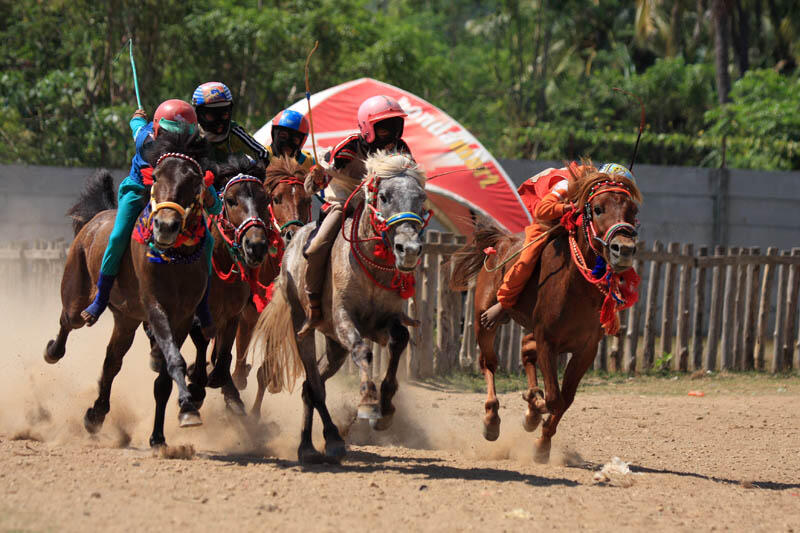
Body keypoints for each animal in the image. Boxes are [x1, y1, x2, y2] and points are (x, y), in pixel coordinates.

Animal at [45, 129, 214, 444]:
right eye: (156, 176)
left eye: (194, 179)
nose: (165, 226)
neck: (175, 261)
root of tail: (95, 220)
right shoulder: (156, 309)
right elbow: (173, 360)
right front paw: (186, 406)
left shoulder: (183, 317)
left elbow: (164, 377)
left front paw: (164, 431)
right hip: (77, 292)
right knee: (67, 320)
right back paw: (53, 351)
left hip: (126, 318)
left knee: (112, 361)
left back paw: (96, 414)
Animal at [230, 156, 314, 388]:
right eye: (276, 199)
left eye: (306, 200)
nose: (292, 234)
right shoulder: (247, 317)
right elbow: (238, 374)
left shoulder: (276, 318)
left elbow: (264, 375)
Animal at [247, 150, 428, 462]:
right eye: (384, 196)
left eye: (420, 198)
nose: (409, 249)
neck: (371, 261)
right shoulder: (344, 318)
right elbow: (363, 350)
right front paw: (368, 401)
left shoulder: (386, 320)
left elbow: (400, 340)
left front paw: (386, 406)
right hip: (304, 329)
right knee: (314, 384)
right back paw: (326, 440)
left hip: (334, 348)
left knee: (310, 386)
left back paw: (309, 444)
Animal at [450, 164, 644, 464]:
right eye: (598, 208)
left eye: (632, 211)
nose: (623, 249)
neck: (576, 286)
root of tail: (500, 243)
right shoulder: (547, 341)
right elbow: (554, 398)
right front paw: (535, 409)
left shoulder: (586, 349)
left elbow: (565, 399)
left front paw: (541, 442)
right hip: (483, 319)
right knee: (489, 363)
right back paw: (492, 419)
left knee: (524, 349)